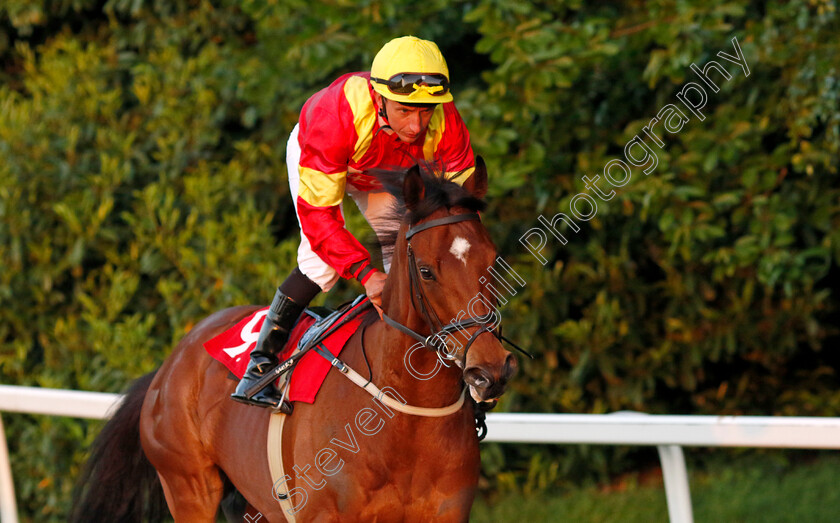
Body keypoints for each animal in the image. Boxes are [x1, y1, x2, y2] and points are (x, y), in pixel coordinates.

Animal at [72, 161, 516, 523]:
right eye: (426, 271)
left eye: (493, 261)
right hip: (188, 487)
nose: (490, 370)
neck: (404, 419)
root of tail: (169, 366)